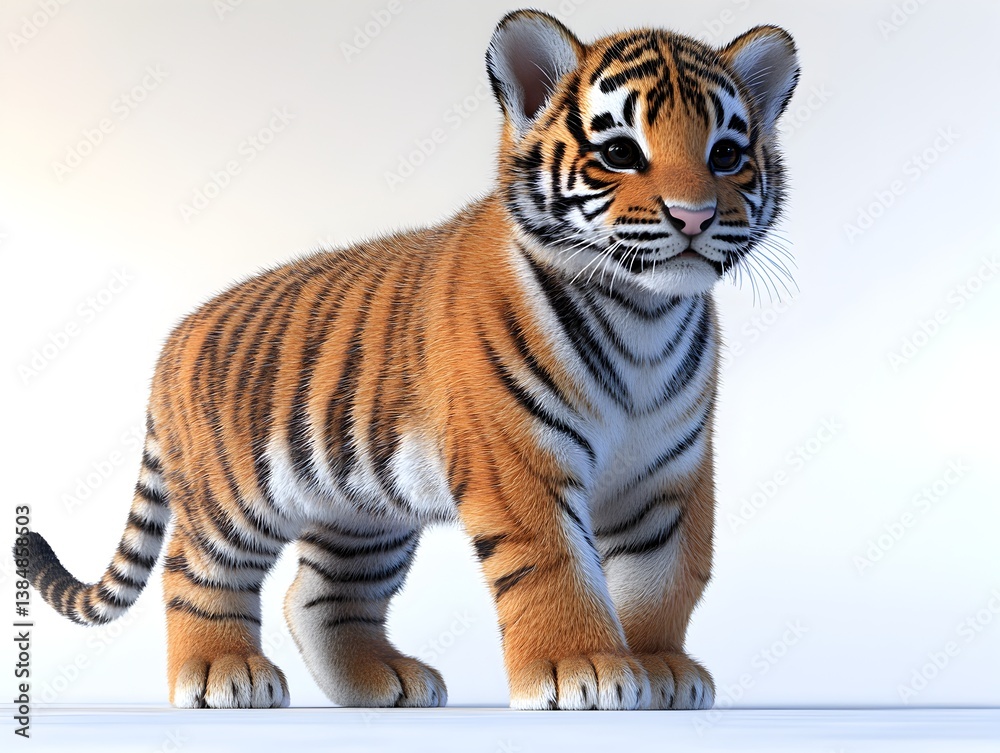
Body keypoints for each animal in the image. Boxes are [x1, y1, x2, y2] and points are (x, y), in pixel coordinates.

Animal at [16, 9, 799, 710]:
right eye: (620, 153)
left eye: (726, 154)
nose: (694, 216)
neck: (643, 313)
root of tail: (175, 334)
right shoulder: (516, 456)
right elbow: (556, 565)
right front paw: (586, 666)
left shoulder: (669, 472)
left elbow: (668, 576)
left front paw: (661, 666)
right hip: (232, 497)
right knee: (194, 573)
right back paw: (220, 674)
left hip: (362, 514)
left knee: (318, 595)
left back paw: (378, 683)